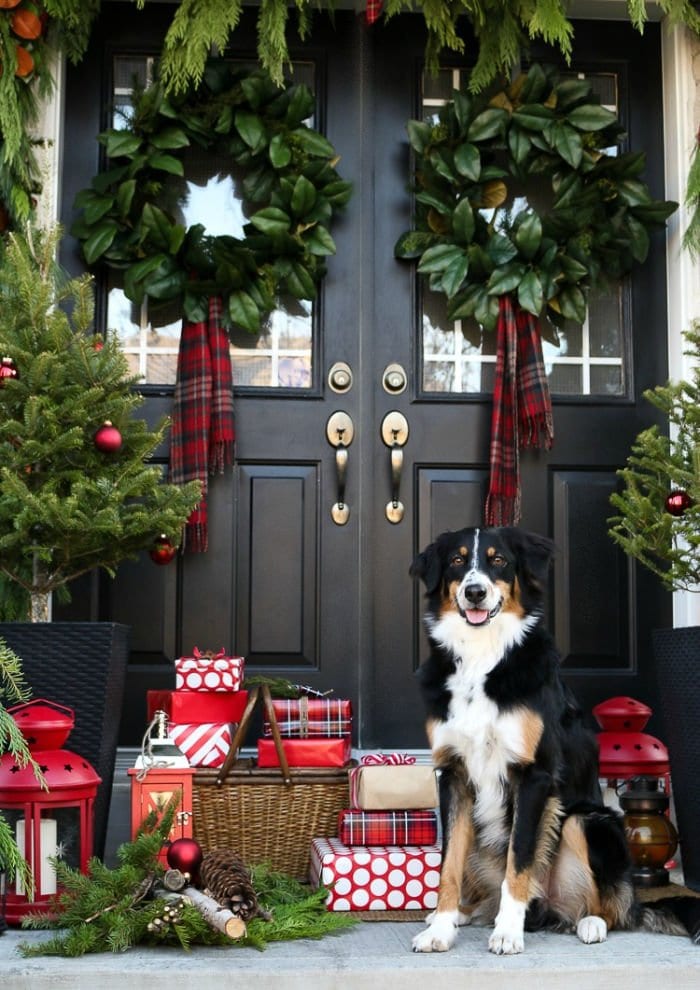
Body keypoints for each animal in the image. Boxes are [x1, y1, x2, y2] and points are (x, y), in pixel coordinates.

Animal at [410, 528, 700, 952]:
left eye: (499, 561)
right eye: (457, 561)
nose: (475, 592)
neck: (482, 655)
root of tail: (548, 910)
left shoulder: (534, 774)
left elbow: (519, 860)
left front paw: (507, 933)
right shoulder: (453, 774)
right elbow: (449, 864)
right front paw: (441, 928)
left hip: (588, 821)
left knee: (616, 908)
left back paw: (590, 923)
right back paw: (466, 913)